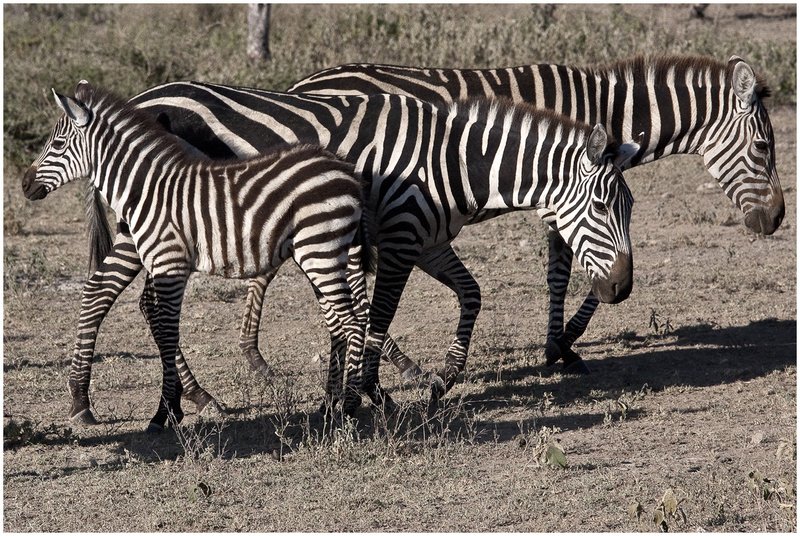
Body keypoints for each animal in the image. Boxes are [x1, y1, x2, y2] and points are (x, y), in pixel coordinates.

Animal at [22, 82, 371, 430]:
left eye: (57, 144)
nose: (25, 184)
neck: (147, 190)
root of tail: (345, 170)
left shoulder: (170, 265)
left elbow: (166, 332)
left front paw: (165, 412)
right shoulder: (163, 266)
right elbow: (163, 330)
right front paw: (174, 407)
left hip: (321, 252)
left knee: (352, 324)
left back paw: (349, 406)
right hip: (319, 253)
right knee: (341, 324)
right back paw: (332, 406)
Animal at [67, 83, 639, 423]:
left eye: (629, 206)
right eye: (600, 205)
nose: (622, 287)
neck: (451, 162)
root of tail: (140, 98)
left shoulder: (430, 243)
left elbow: (471, 295)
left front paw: (442, 377)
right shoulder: (401, 237)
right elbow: (378, 316)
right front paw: (368, 391)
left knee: (134, 300)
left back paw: (186, 397)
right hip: (146, 228)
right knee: (102, 293)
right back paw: (87, 402)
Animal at [283, 54, 785, 374]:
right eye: (764, 147)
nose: (778, 219)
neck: (602, 112)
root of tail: (299, 86)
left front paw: (562, 342)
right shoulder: (563, 200)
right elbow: (566, 272)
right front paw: (560, 345)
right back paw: (400, 363)